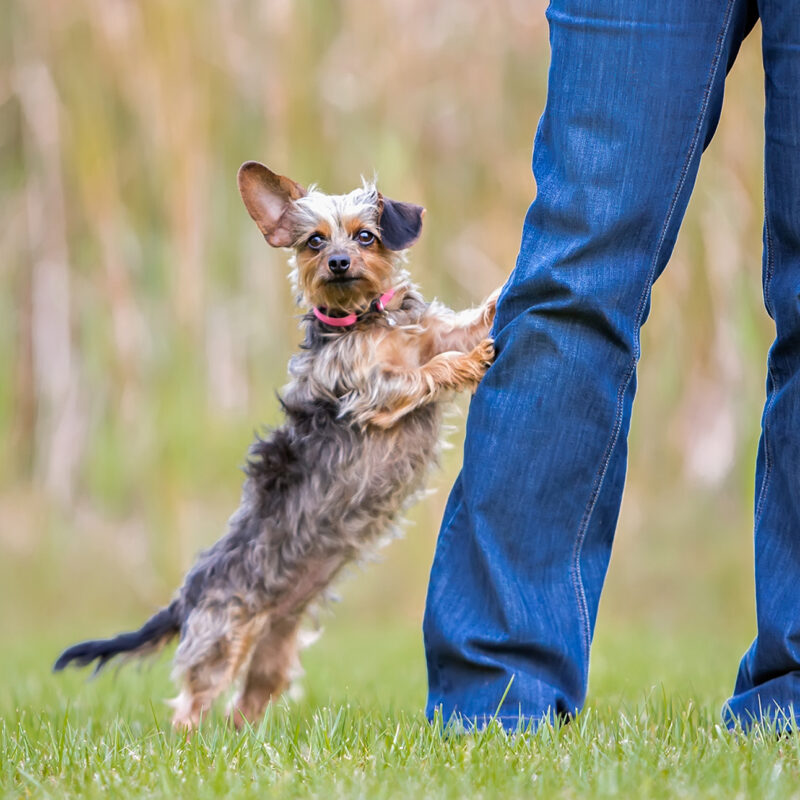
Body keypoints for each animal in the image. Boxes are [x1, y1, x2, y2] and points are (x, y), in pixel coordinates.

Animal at [54, 162, 500, 732]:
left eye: (365, 236)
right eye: (314, 241)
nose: (338, 262)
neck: (366, 320)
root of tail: (185, 597)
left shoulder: (431, 334)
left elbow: (465, 326)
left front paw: (499, 299)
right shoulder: (370, 392)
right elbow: (421, 373)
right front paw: (465, 364)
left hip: (275, 648)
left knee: (244, 706)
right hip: (220, 640)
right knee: (190, 706)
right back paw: (188, 741)